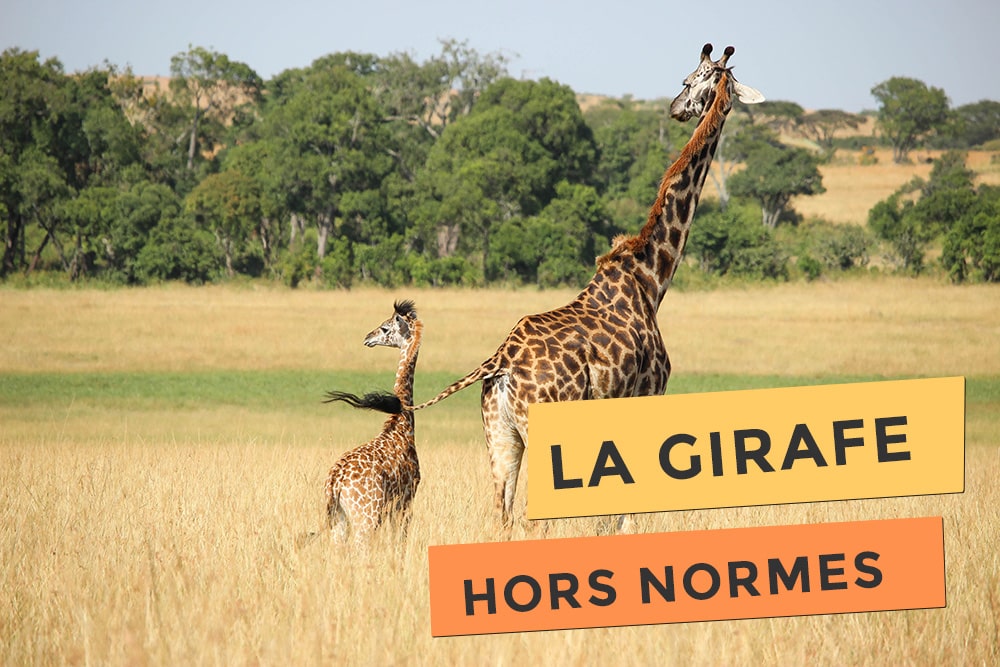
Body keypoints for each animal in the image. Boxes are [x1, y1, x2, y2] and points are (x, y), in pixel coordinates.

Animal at [320, 300, 422, 545]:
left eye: (385, 328)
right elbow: (400, 541)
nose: (368, 337)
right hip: (366, 518)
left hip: (340, 520)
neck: (401, 424)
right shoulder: (406, 499)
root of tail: (335, 483)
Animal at [365, 44, 763, 530]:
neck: (652, 277)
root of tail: (499, 362)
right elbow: (627, 514)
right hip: (540, 430)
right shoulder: (649, 394)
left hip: (500, 436)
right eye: (689, 79)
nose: (675, 108)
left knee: (502, 513)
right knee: (534, 518)